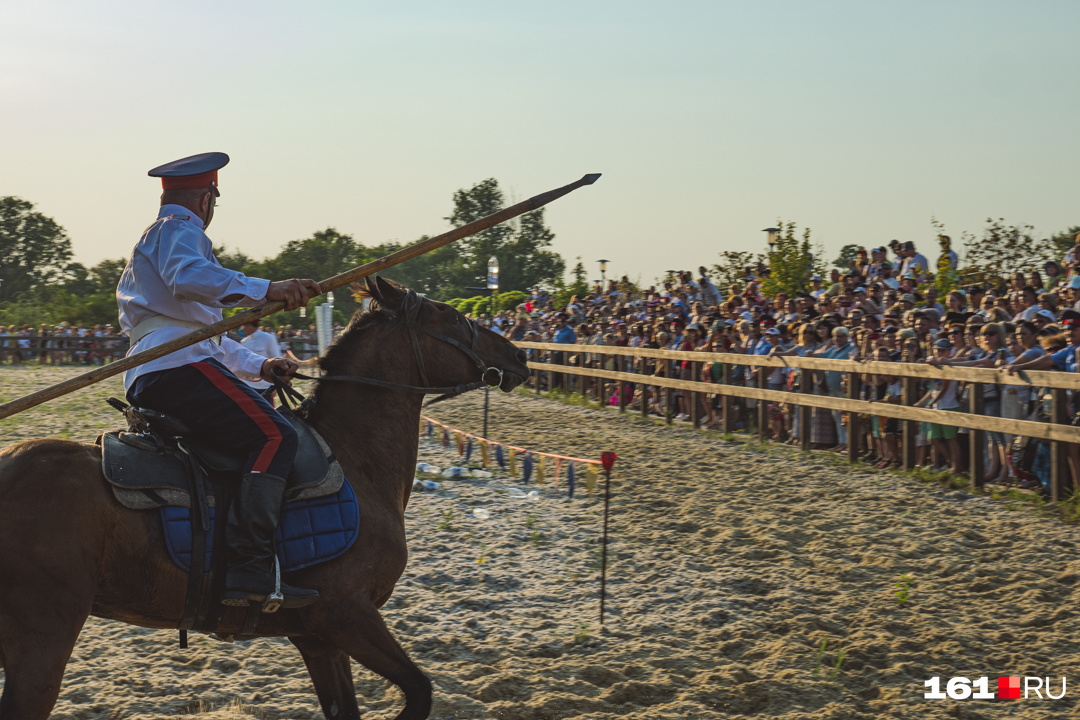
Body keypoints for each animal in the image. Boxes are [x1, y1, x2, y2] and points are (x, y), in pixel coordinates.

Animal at [0, 278, 527, 720]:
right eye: (451, 317)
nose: (519, 356)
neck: (353, 457)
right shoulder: (348, 616)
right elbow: (419, 691)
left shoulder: (318, 639)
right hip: (44, 633)